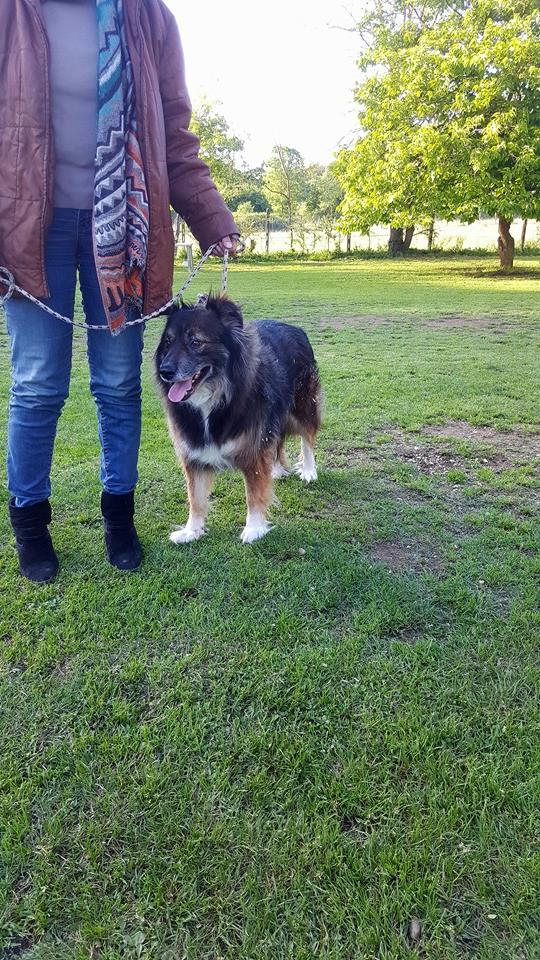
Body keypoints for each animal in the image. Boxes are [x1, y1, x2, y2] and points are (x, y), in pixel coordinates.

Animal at [154, 294, 322, 540]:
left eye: (196, 342)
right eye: (168, 342)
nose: (165, 371)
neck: (216, 397)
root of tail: (295, 328)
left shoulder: (254, 448)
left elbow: (253, 493)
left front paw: (253, 528)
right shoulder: (194, 452)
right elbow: (195, 497)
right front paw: (192, 530)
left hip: (303, 405)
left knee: (306, 437)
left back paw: (309, 470)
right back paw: (277, 469)